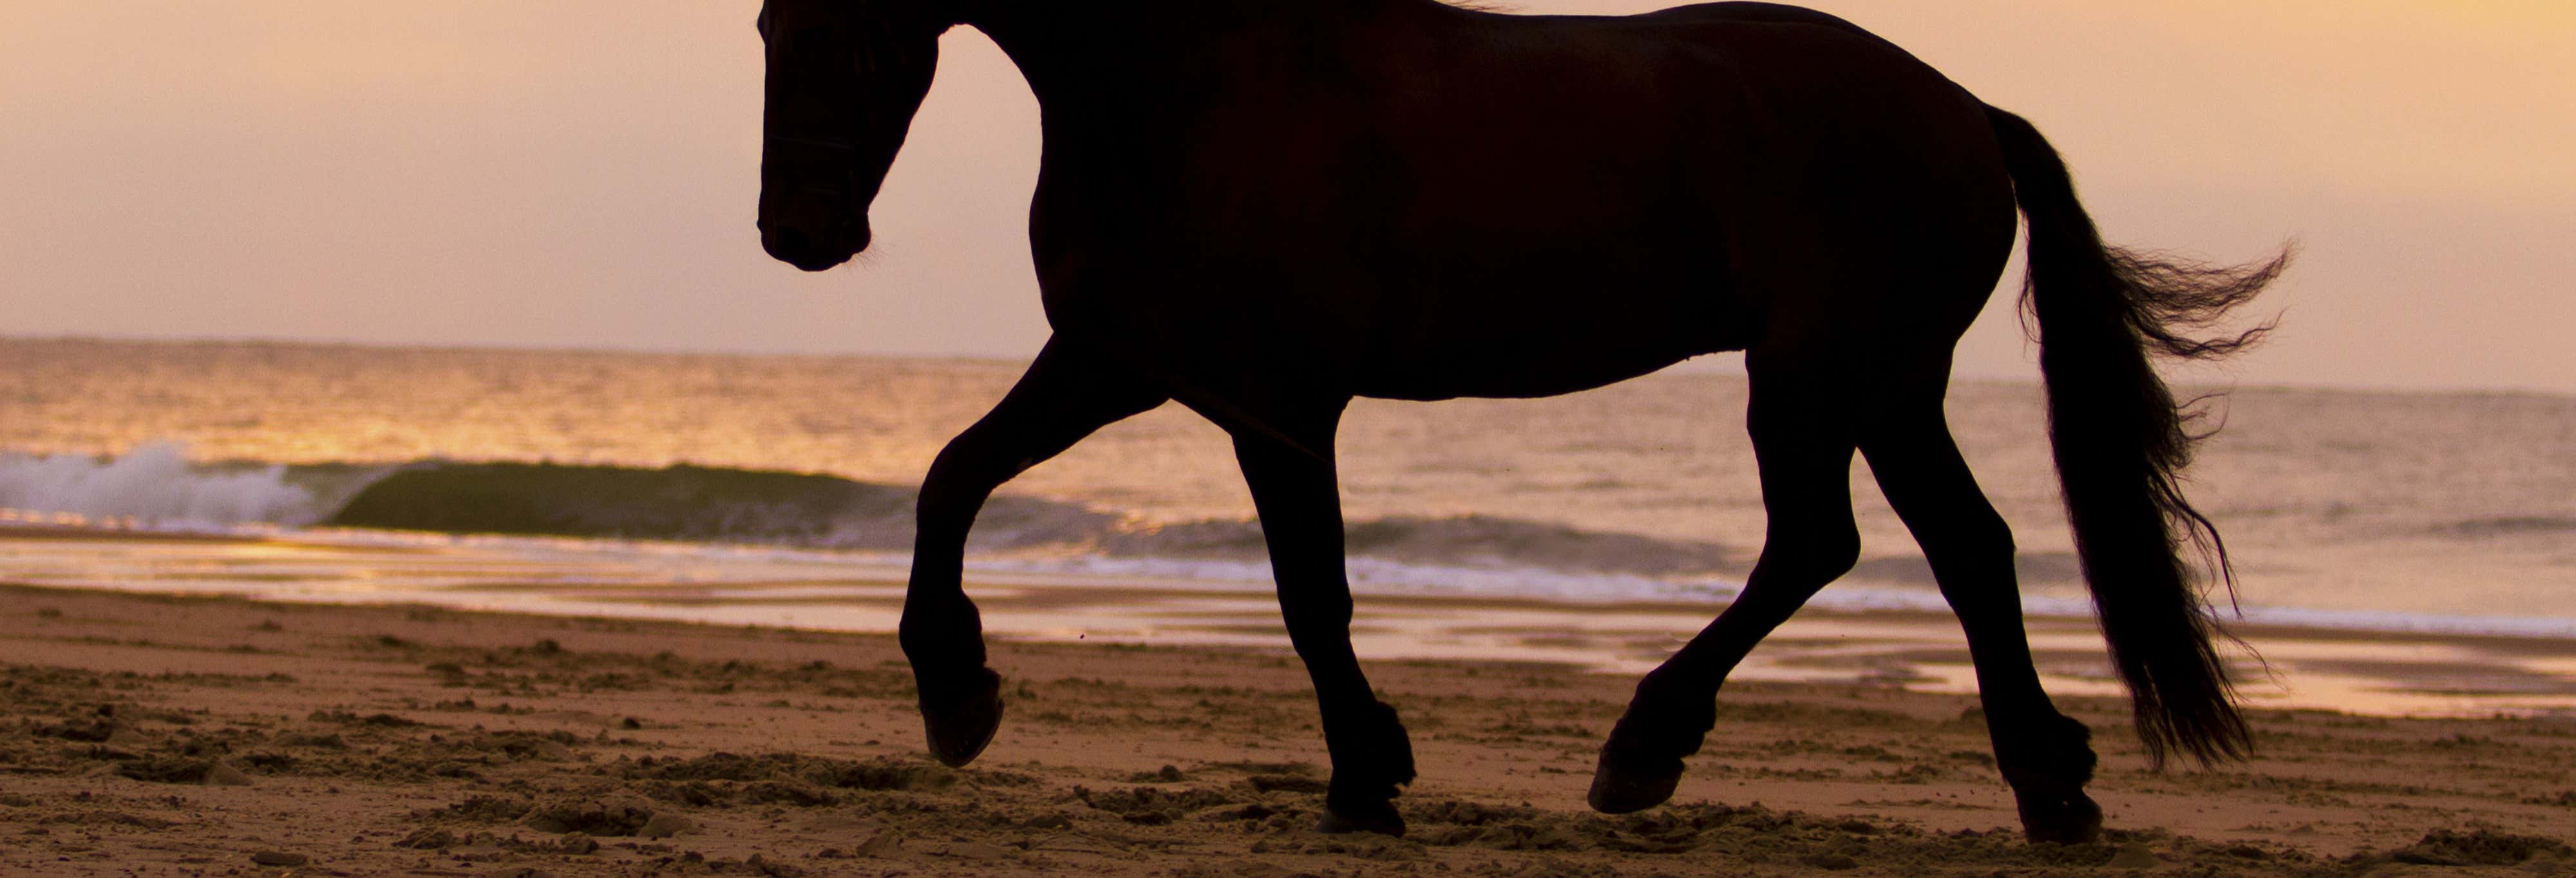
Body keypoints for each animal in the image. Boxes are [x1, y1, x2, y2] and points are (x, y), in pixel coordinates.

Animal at [754, 0, 2284, 843]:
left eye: (832, 29)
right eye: (768, 24)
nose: (798, 235)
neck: (1197, 91)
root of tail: (1964, 110)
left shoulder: (1275, 401)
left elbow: (1311, 594)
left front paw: (1364, 776)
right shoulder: (1118, 360)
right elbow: (950, 476)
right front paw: (956, 694)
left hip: (1817, 375)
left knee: (1823, 543)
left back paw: (1646, 747)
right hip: (1886, 383)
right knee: (1964, 551)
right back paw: (2048, 787)